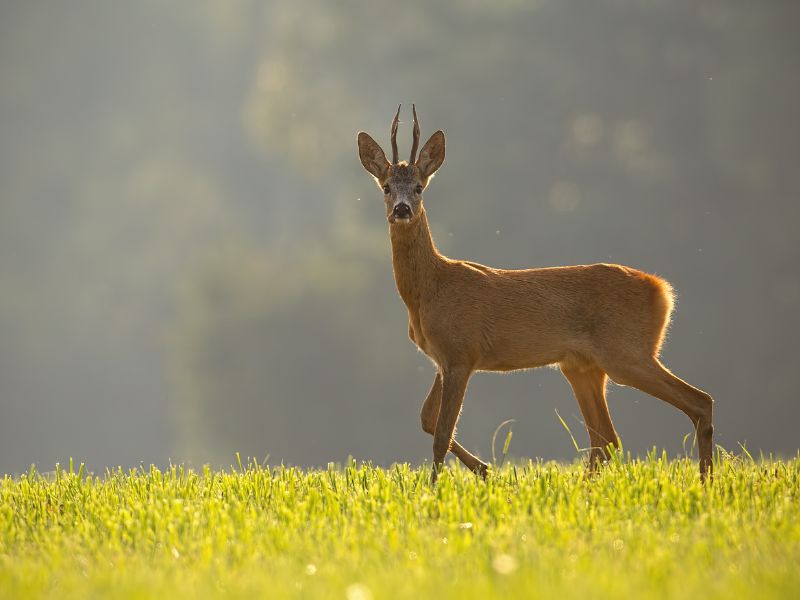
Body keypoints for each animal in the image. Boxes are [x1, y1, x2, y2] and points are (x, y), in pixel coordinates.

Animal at [360, 104, 716, 482]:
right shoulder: (443, 359)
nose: (401, 209)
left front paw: (436, 486)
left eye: (418, 187)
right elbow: (427, 419)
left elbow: (441, 431)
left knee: (698, 402)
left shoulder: (460, 353)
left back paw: (705, 480)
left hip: (626, 352)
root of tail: (662, 290)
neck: (430, 291)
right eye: (386, 187)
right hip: (581, 366)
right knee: (606, 438)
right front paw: (484, 469)